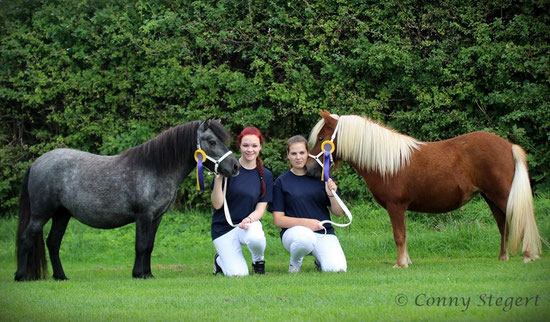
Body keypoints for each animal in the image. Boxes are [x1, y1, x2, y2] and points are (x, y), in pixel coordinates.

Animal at [14, 119, 239, 280]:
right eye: (212, 141)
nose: (235, 166)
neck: (155, 168)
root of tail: (36, 163)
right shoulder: (143, 216)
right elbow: (140, 245)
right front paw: (138, 274)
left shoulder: (156, 217)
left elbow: (149, 245)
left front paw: (148, 273)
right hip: (41, 214)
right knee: (26, 239)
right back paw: (21, 276)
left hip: (62, 215)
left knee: (53, 243)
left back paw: (61, 276)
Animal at [308, 110, 544, 266]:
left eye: (321, 138)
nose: (309, 168)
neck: (387, 162)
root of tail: (509, 146)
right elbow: (403, 235)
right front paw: (406, 261)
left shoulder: (396, 206)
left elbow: (399, 235)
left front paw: (400, 264)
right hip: (491, 197)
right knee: (503, 224)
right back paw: (503, 257)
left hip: (502, 195)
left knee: (520, 219)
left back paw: (528, 255)